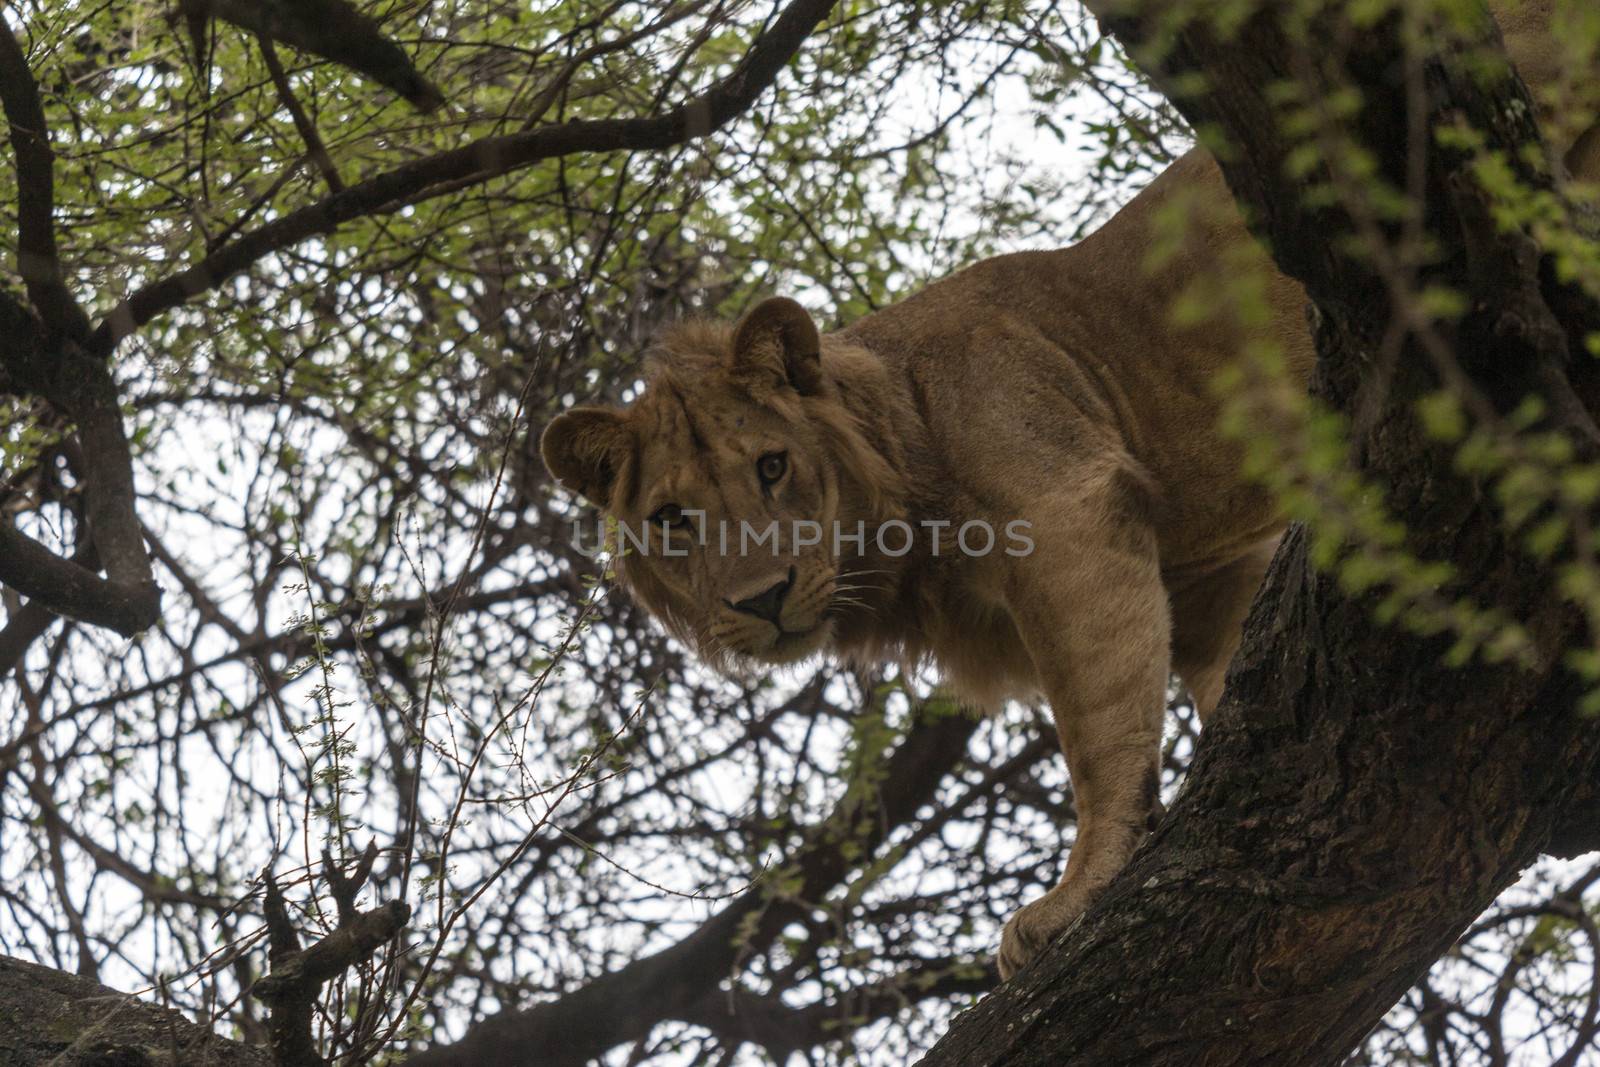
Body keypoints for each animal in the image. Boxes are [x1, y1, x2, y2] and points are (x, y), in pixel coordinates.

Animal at [540, 2, 1600, 985]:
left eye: (770, 466)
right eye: (673, 520)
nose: (760, 599)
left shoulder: (1067, 514)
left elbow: (1099, 728)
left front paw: (1080, 890)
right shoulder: (1211, 572)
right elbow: (1226, 679)